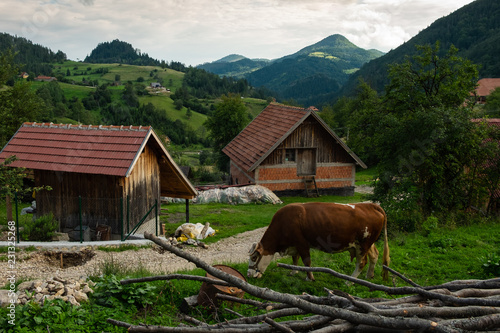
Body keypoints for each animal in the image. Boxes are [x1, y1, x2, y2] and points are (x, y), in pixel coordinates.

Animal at [246, 200, 390, 280]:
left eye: (254, 257)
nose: (248, 274)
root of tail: (370, 205)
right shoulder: (294, 245)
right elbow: (295, 259)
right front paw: (293, 272)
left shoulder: (302, 243)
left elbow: (306, 262)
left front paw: (309, 278)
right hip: (367, 243)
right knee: (374, 256)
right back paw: (369, 276)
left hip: (363, 244)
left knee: (361, 262)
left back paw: (349, 281)